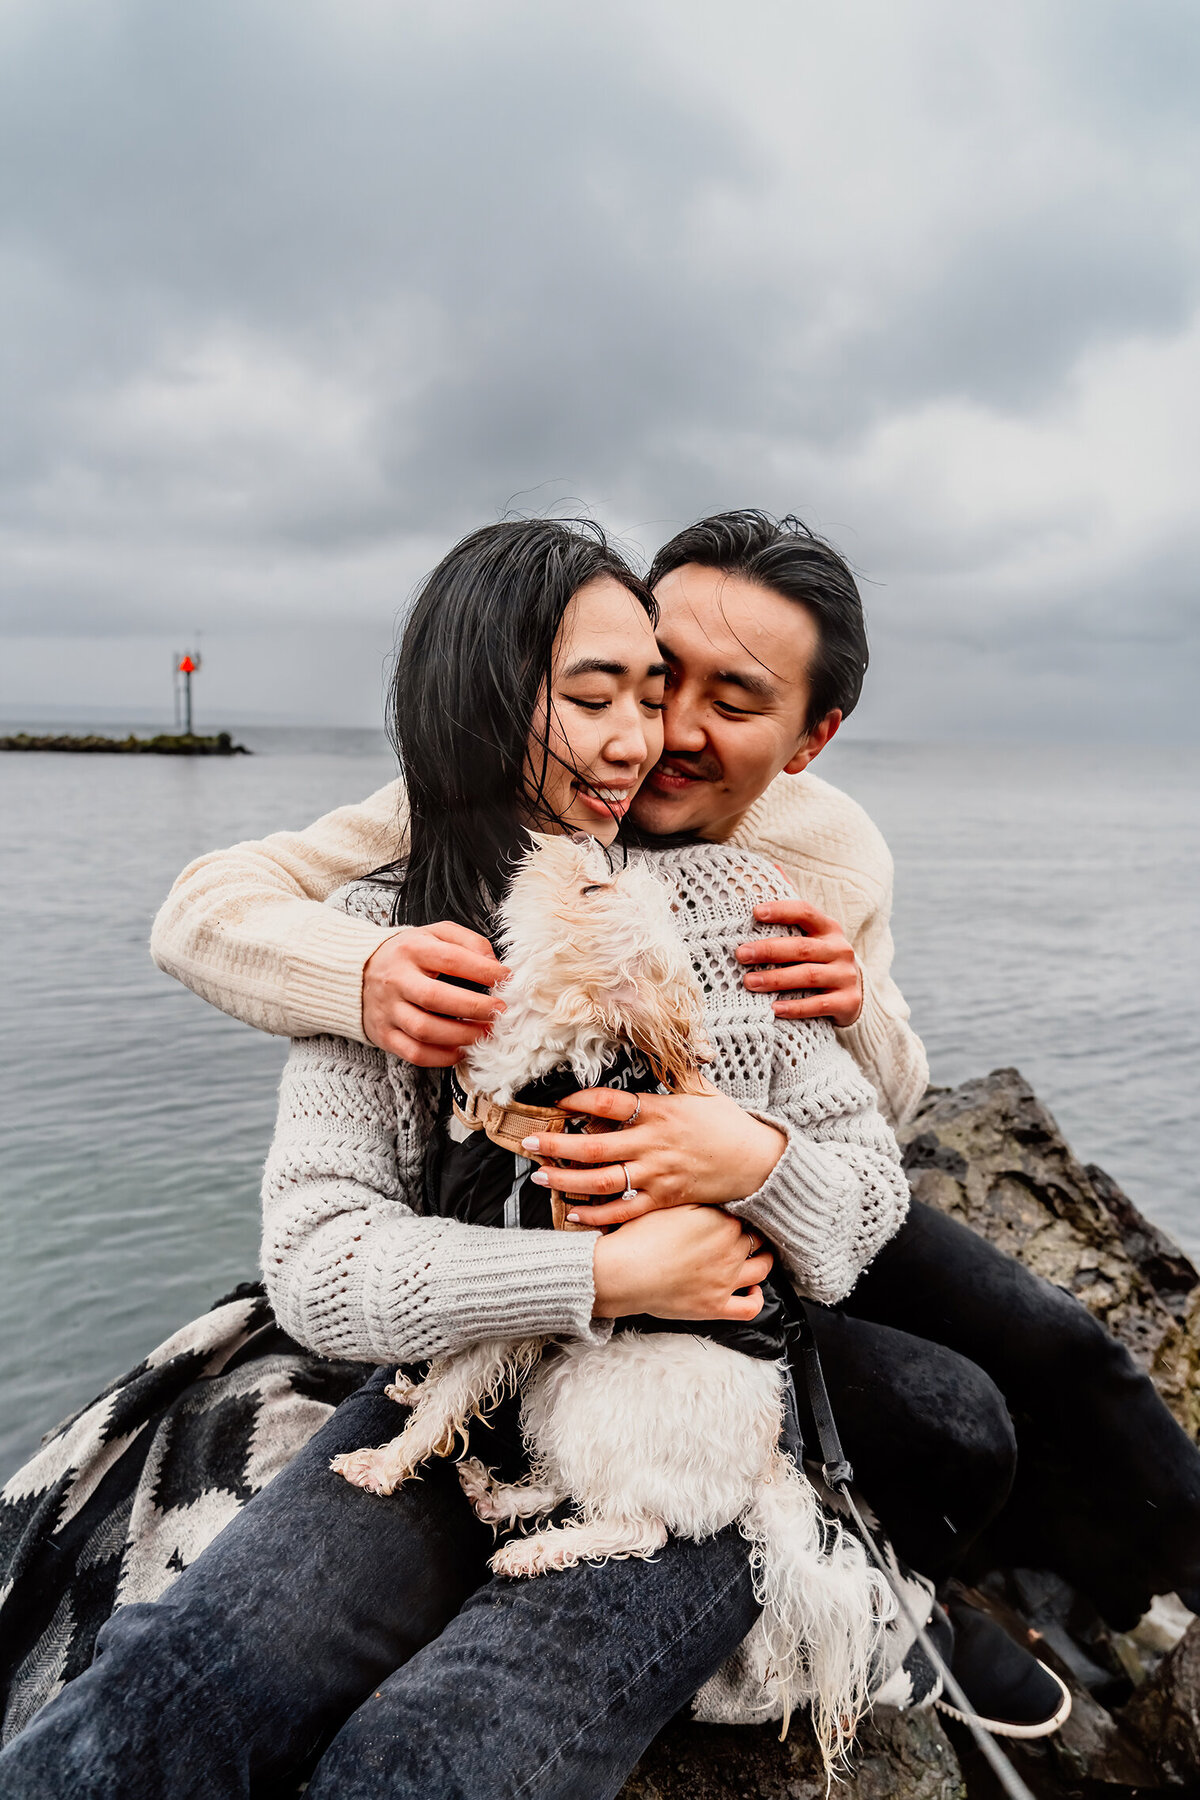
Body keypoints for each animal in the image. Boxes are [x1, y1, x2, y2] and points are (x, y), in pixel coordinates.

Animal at [332, 838, 888, 1756]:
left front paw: (385, 1464)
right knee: (563, 1484)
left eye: (592, 890)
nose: (575, 840)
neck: (543, 1090)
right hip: (562, 1390)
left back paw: (527, 1552)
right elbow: (447, 1367)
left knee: (638, 1527)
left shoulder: (518, 1299)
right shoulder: (488, 1279)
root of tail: (767, 1470)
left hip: (603, 1394)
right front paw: (415, 1393)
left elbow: (453, 1389)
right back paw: (495, 1497)